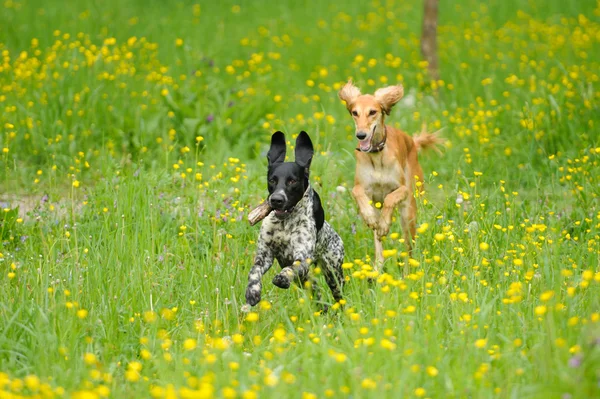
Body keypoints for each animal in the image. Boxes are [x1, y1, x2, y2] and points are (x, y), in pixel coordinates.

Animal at [245, 133, 346, 308]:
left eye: (292, 181)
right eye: (272, 180)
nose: (276, 200)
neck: (284, 223)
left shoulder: (302, 257)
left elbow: (292, 268)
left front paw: (282, 277)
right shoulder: (264, 256)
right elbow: (254, 271)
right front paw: (253, 291)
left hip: (333, 273)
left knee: (338, 294)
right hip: (305, 280)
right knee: (317, 292)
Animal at [338, 80, 446, 272]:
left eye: (372, 112)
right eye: (354, 112)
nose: (361, 135)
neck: (377, 156)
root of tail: (413, 142)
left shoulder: (403, 190)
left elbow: (391, 197)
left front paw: (384, 224)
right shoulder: (363, 188)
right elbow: (357, 192)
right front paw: (370, 218)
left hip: (409, 213)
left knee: (409, 249)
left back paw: (408, 272)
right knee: (379, 246)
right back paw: (377, 268)